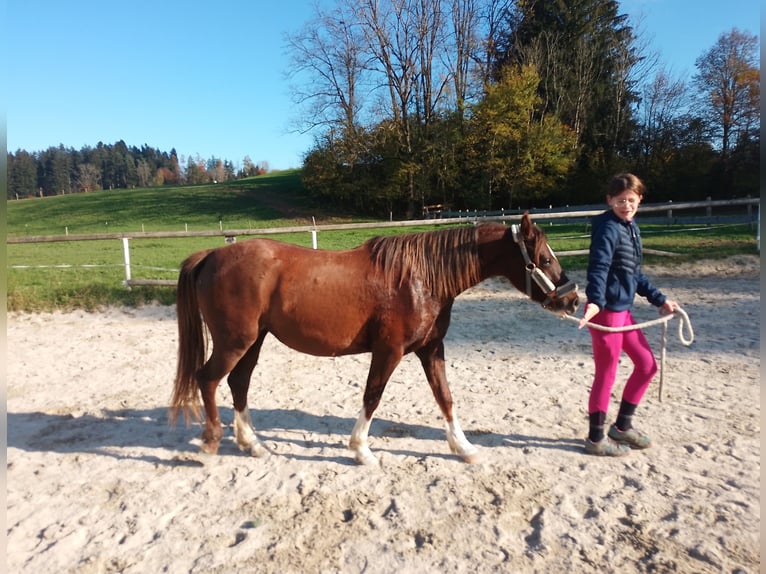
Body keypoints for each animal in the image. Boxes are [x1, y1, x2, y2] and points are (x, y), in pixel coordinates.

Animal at [171, 214, 580, 466]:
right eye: (544, 259)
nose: (573, 300)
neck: (422, 278)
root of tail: (212, 254)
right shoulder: (390, 351)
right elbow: (372, 396)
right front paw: (361, 450)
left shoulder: (431, 350)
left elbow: (445, 397)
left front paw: (463, 447)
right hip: (234, 342)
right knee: (208, 379)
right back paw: (212, 441)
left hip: (253, 342)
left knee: (238, 383)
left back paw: (252, 444)